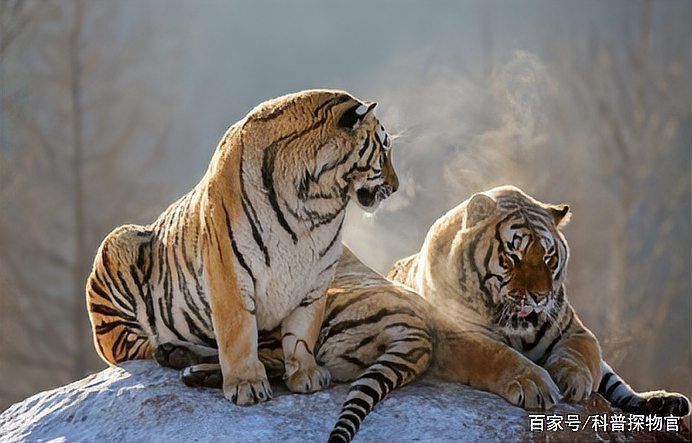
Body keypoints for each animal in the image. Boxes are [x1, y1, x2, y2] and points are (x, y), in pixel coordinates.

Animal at [85, 89, 400, 406]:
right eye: (384, 149)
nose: (396, 187)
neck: (317, 202)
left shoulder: (316, 276)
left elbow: (302, 331)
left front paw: (306, 375)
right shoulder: (229, 269)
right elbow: (238, 331)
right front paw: (246, 385)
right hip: (117, 253)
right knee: (140, 347)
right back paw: (174, 354)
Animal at [389, 185, 690, 419]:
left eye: (548, 257)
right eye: (513, 256)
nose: (540, 296)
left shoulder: (577, 331)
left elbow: (575, 355)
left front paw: (573, 379)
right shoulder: (453, 336)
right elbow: (495, 353)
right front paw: (534, 384)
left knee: (617, 384)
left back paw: (665, 401)